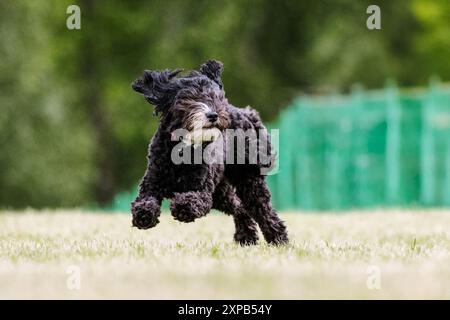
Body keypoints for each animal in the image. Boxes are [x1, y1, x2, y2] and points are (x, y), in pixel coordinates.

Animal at [130, 60, 288, 245]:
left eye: (215, 98)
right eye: (190, 98)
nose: (213, 115)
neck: (182, 149)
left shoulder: (203, 190)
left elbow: (193, 199)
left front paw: (182, 207)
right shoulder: (152, 183)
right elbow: (145, 200)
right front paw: (144, 215)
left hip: (248, 180)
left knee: (263, 210)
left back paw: (278, 240)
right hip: (221, 192)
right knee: (239, 206)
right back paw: (246, 237)